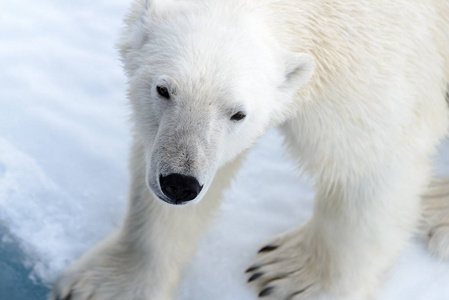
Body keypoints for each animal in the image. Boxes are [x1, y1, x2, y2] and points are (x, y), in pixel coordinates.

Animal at [49, 0, 448, 300]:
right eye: (163, 90)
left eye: (238, 113)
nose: (180, 183)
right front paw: (107, 285)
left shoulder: (374, 63)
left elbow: (369, 165)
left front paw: (291, 275)